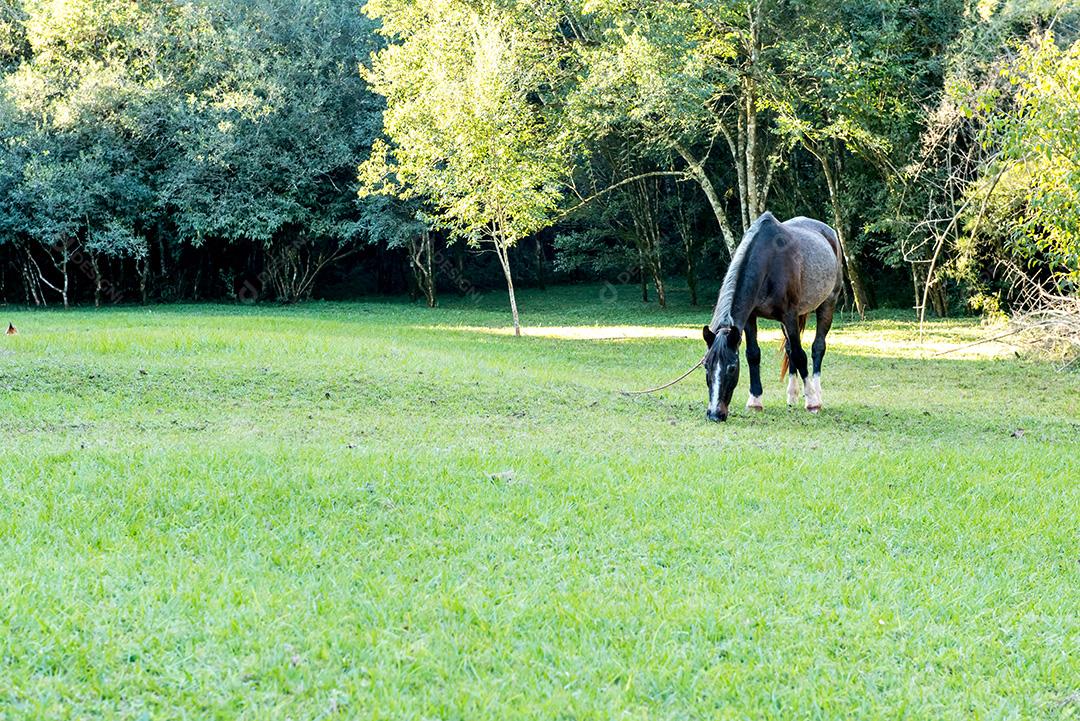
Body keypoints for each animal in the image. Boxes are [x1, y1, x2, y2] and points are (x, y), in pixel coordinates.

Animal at [703, 211, 843, 422]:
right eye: (706, 366)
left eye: (732, 368)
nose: (714, 414)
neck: (768, 262)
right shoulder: (751, 318)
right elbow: (753, 354)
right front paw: (755, 401)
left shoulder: (789, 315)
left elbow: (800, 356)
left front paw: (812, 401)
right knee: (790, 349)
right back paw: (792, 396)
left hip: (827, 304)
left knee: (817, 347)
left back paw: (817, 393)